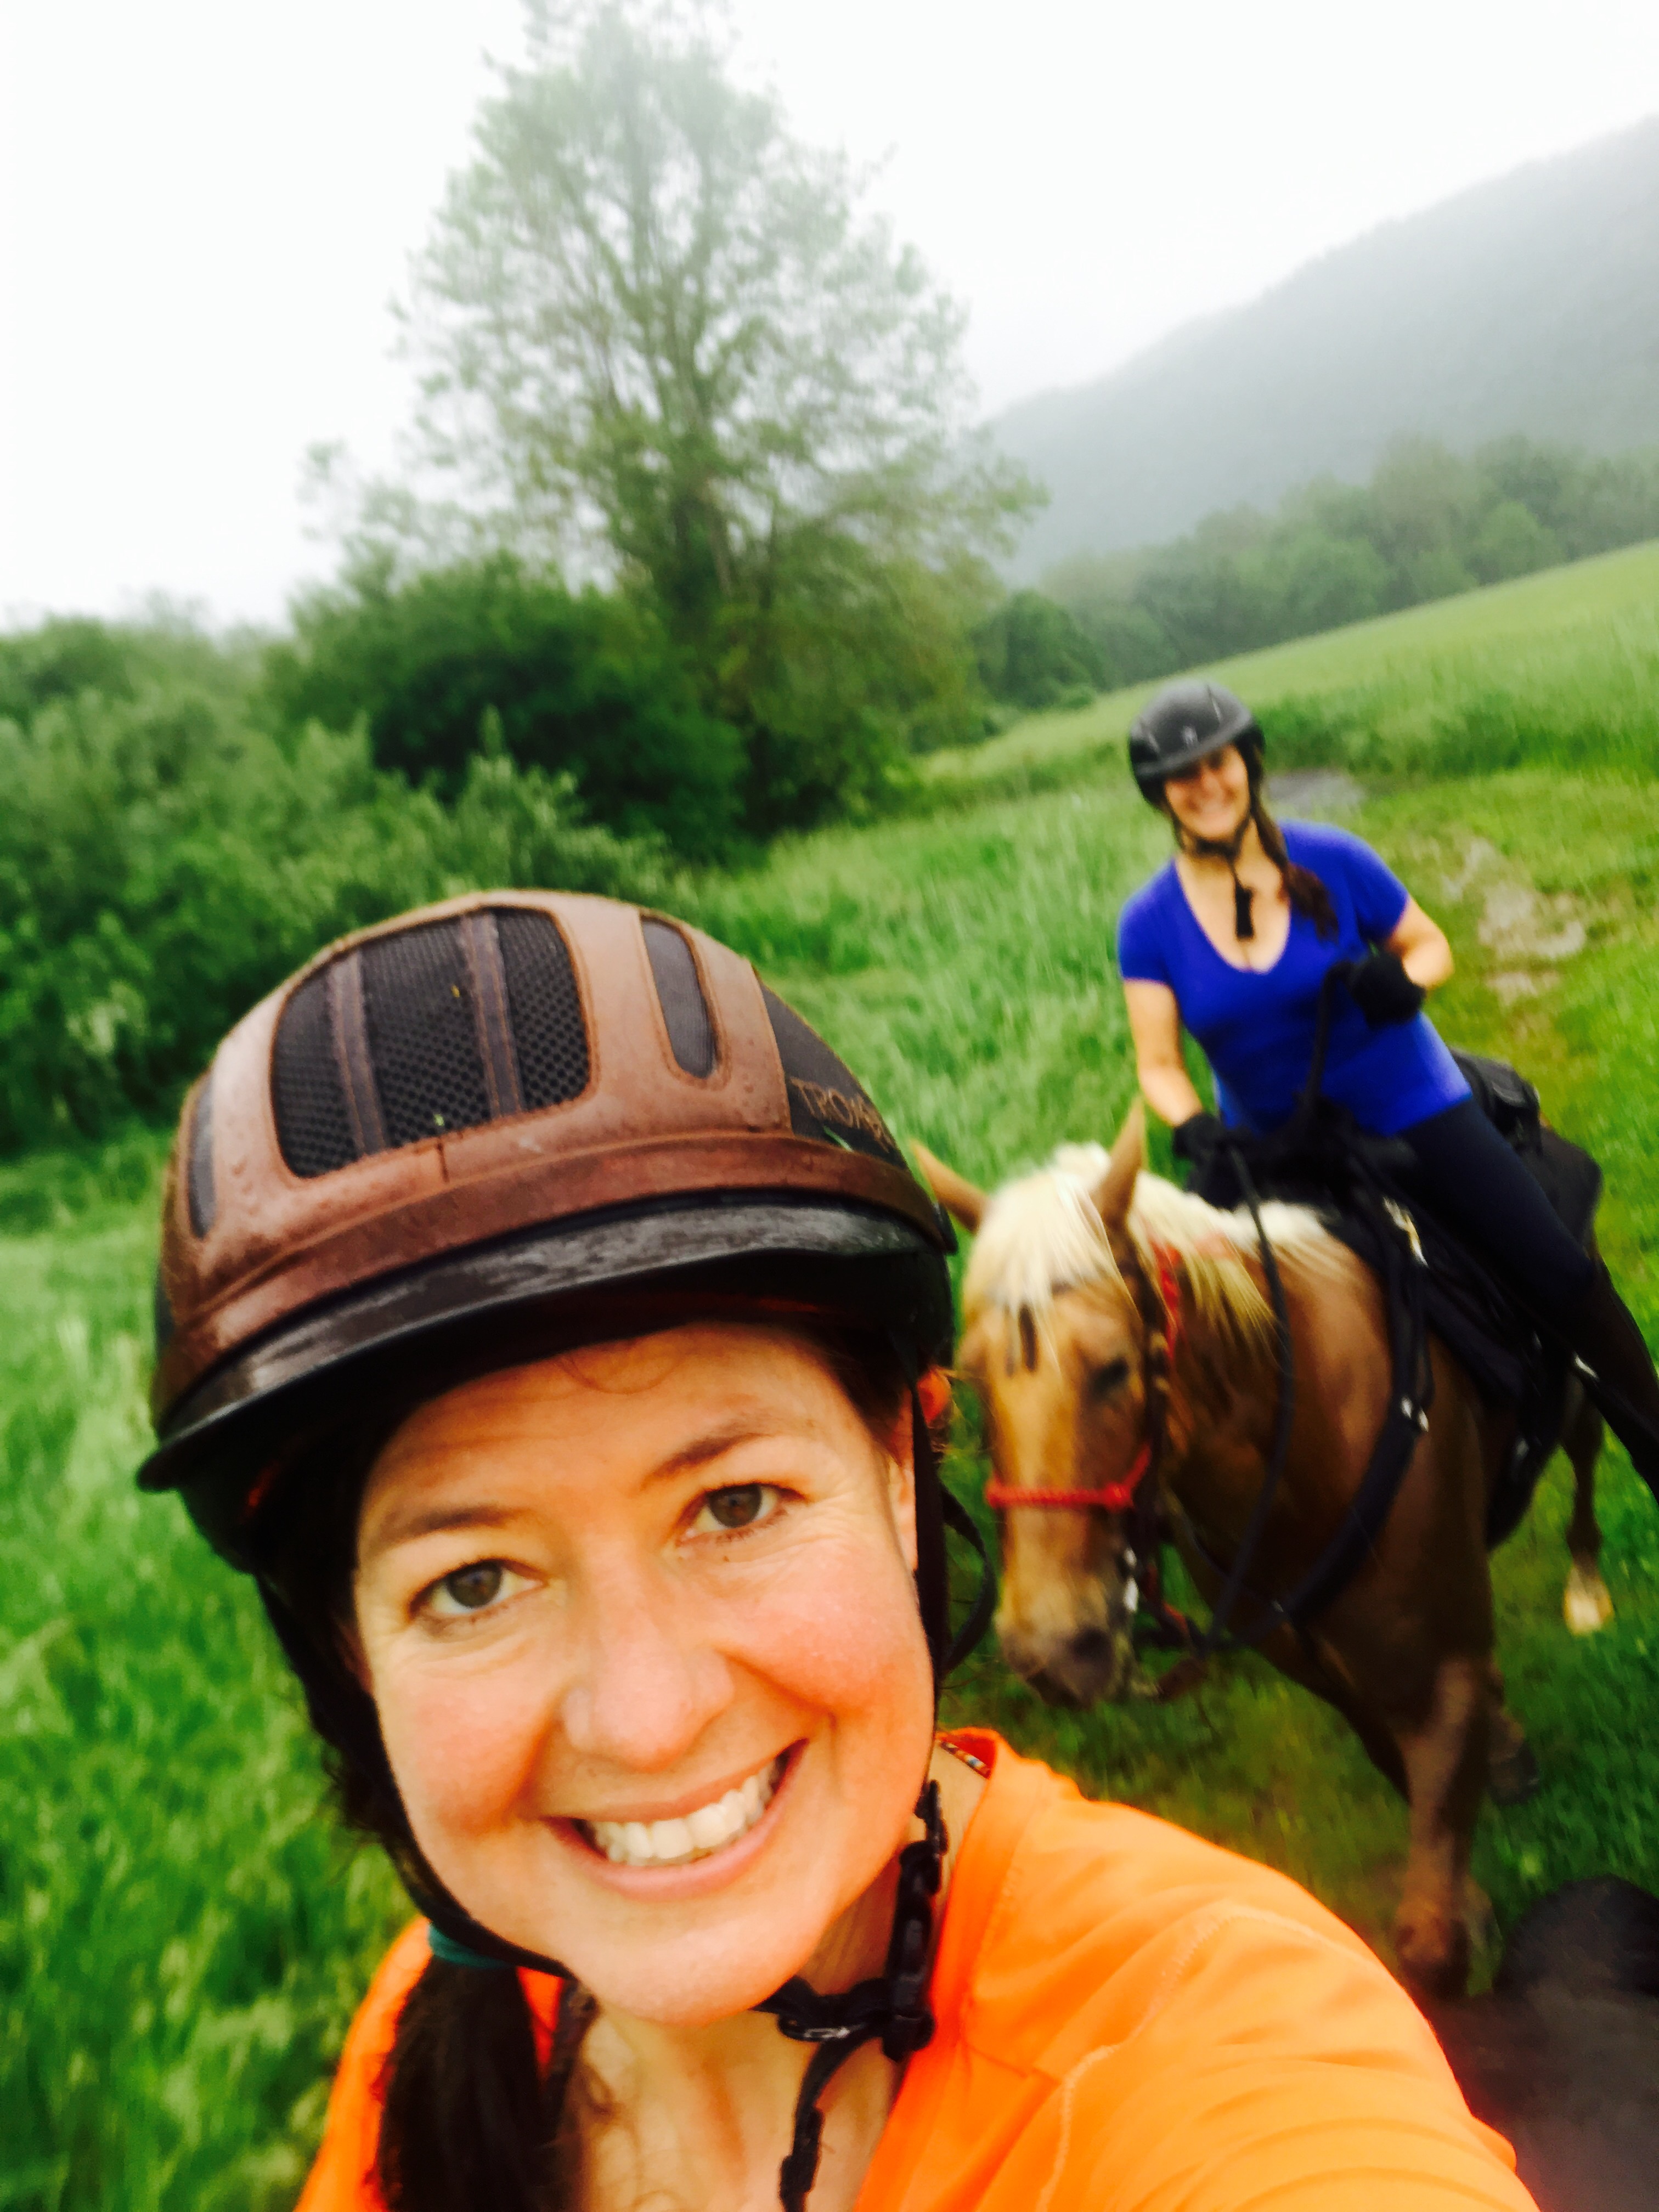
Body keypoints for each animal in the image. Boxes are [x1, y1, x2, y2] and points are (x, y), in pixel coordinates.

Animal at [916, 1106, 1610, 1996]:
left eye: (1114, 1368)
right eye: (971, 1381)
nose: (1052, 1651)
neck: (1304, 1464)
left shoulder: (1443, 1680)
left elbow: (1429, 1947)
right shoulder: (1346, 1687)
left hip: (1578, 1378)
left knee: (1588, 1453)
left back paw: (1587, 1586)